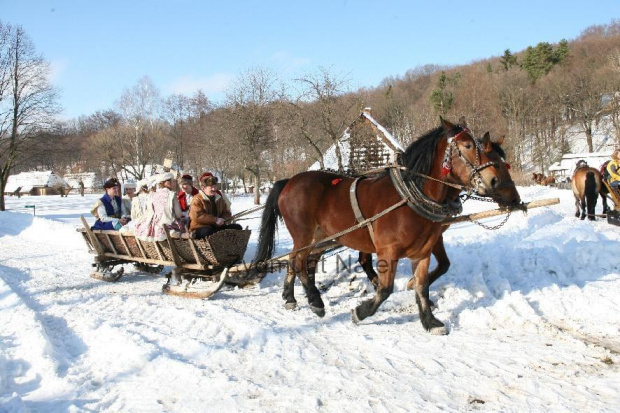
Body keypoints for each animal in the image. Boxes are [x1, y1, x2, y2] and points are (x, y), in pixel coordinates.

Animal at [254, 117, 520, 334]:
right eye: (466, 146)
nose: (494, 182)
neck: (410, 198)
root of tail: (289, 181)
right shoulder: (388, 251)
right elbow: (385, 289)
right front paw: (360, 312)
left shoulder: (423, 250)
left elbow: (424, 285)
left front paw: (429, 320)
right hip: (304, 236)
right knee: (298, 261)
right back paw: (314, 302)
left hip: (323, 238)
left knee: (299, 262)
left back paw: (292, 297)